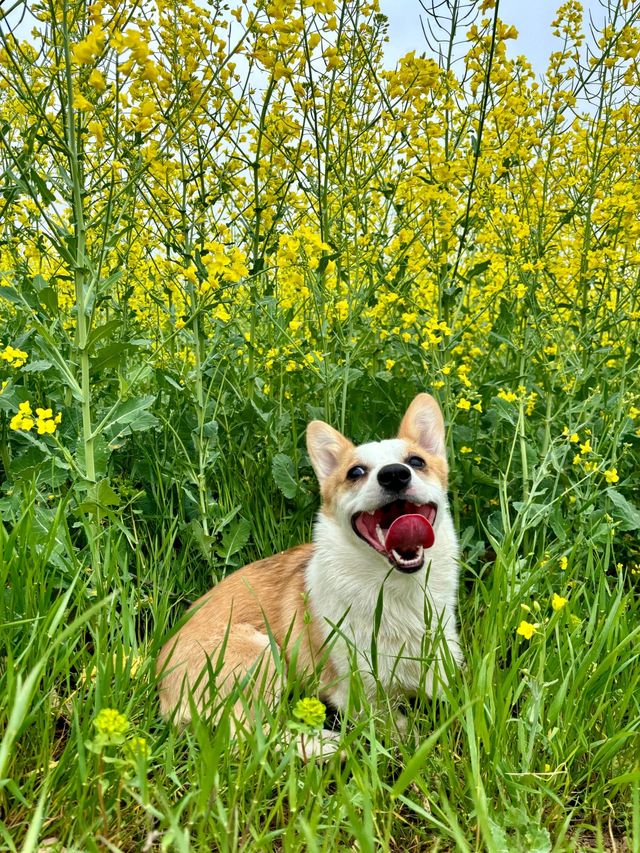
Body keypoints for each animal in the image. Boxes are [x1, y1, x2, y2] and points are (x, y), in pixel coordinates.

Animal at [158, 394, 462, 744]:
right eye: (356, 472)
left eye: (416, 461)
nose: (395, 474)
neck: (396, 589)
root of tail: (163, 694)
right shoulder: (359, 695)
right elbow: (400, 728)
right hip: (261, 653)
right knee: (252, 736)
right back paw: (333, 746)